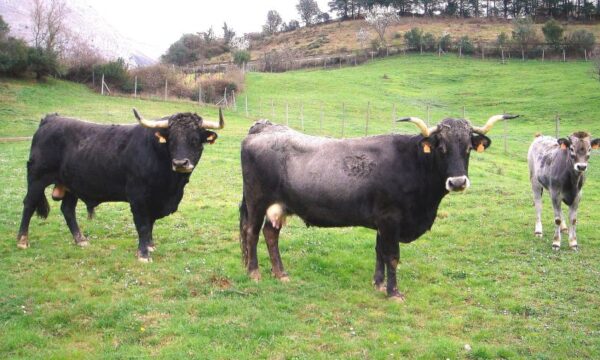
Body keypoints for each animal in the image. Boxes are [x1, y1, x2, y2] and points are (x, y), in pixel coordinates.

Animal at [16, 108, 224, 260]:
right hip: (37, 178)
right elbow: (142, 225)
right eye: (171, 139)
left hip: (71, 185)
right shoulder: (138, 196)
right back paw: (22, 241)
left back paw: (81, 240)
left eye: (195, 139)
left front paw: (150, 245)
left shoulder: (155, 200)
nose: (180, 163)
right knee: (28, 204)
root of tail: (50, 119)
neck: (171, 186)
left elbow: (150, 223)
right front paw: (143, 254)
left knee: (67, 210)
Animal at [241, 115, 516, 300]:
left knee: (270, 234)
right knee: (252, 232)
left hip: (278, 207)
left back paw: (281, 274)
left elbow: (379, 252)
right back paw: (254, 272)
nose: (458, 182)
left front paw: (379, 284)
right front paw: (394, 292)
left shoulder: (382, 223)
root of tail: (264, 128)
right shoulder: (390, 219)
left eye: (468, 148)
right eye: (441, 148)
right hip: (257, 201)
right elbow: (392, 256)